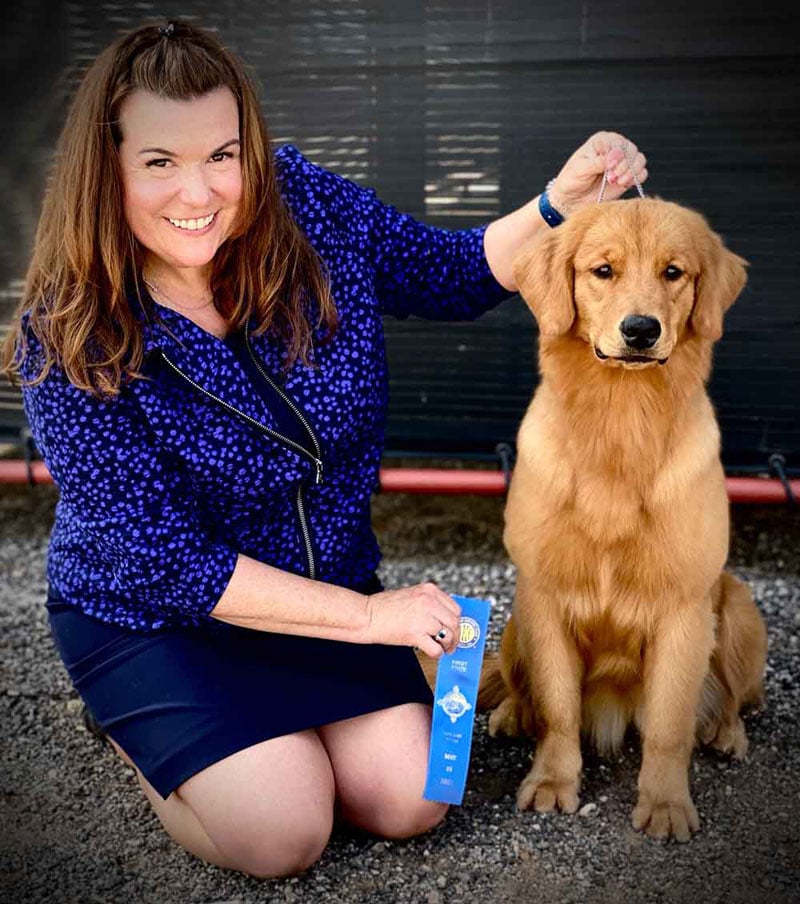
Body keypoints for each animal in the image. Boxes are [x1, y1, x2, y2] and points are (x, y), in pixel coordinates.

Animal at [482, 198, 768, 840]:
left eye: (673, 272)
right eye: (603, 271)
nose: (641, 330)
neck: (621, 421)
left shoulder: (684, 607)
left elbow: (667, 724)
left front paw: (664, 804)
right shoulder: (544, 594)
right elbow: (558, 709)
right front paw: (552, 781)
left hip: (738, 607)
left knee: (735, 697)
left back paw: (725, 731)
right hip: (513, 622)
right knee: (520, 687)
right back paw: (512, 712)